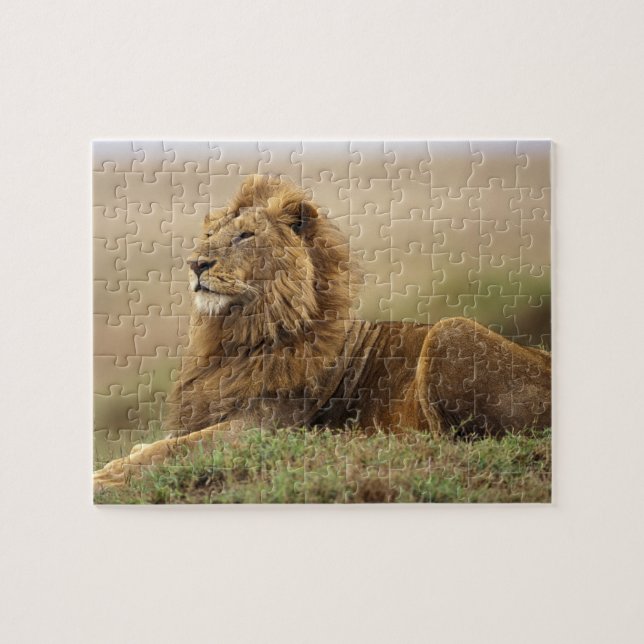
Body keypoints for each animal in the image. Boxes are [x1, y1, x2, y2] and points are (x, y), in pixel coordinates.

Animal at [93, 175, 551, 490]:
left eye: (244, 235)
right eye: (209, 235)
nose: (195, 264)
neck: (239, 336)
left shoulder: (264, 426)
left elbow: (172, 450)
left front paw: (106, 476)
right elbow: (155, 445)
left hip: (448, 331)